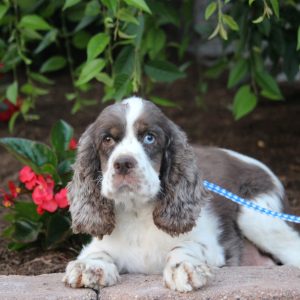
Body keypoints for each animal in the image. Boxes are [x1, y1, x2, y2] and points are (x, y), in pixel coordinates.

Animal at [62, 97, 300, 292]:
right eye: (107, 139)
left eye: (150, 138)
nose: (123, 164)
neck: (137, 211)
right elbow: (96, 252)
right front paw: (89, 266)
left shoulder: (212, 246)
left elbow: (185, 247)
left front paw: (184, 268)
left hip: (257, 217)